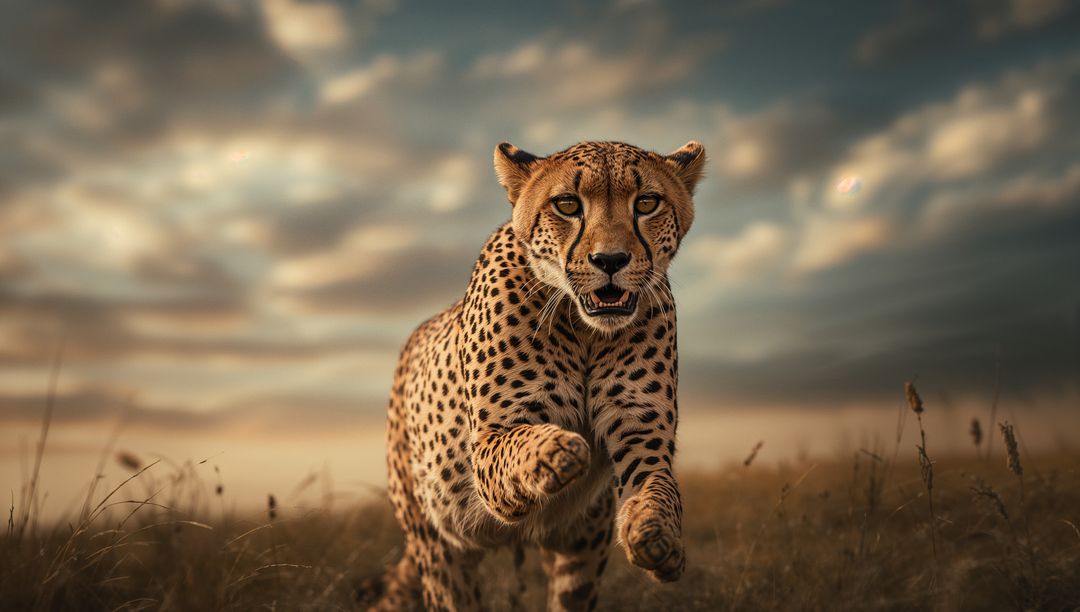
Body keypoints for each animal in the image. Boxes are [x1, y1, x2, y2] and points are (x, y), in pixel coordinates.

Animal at [364, 139, 706, 611]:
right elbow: (520, 442)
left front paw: (658, 539)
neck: (585, 329)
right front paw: (559, 451)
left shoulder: (642, 434)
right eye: (567, 205)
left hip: (580, 554)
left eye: (646, 203)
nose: (610, 260)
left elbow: (658, 490)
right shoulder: (488, 445)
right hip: (438, 550)